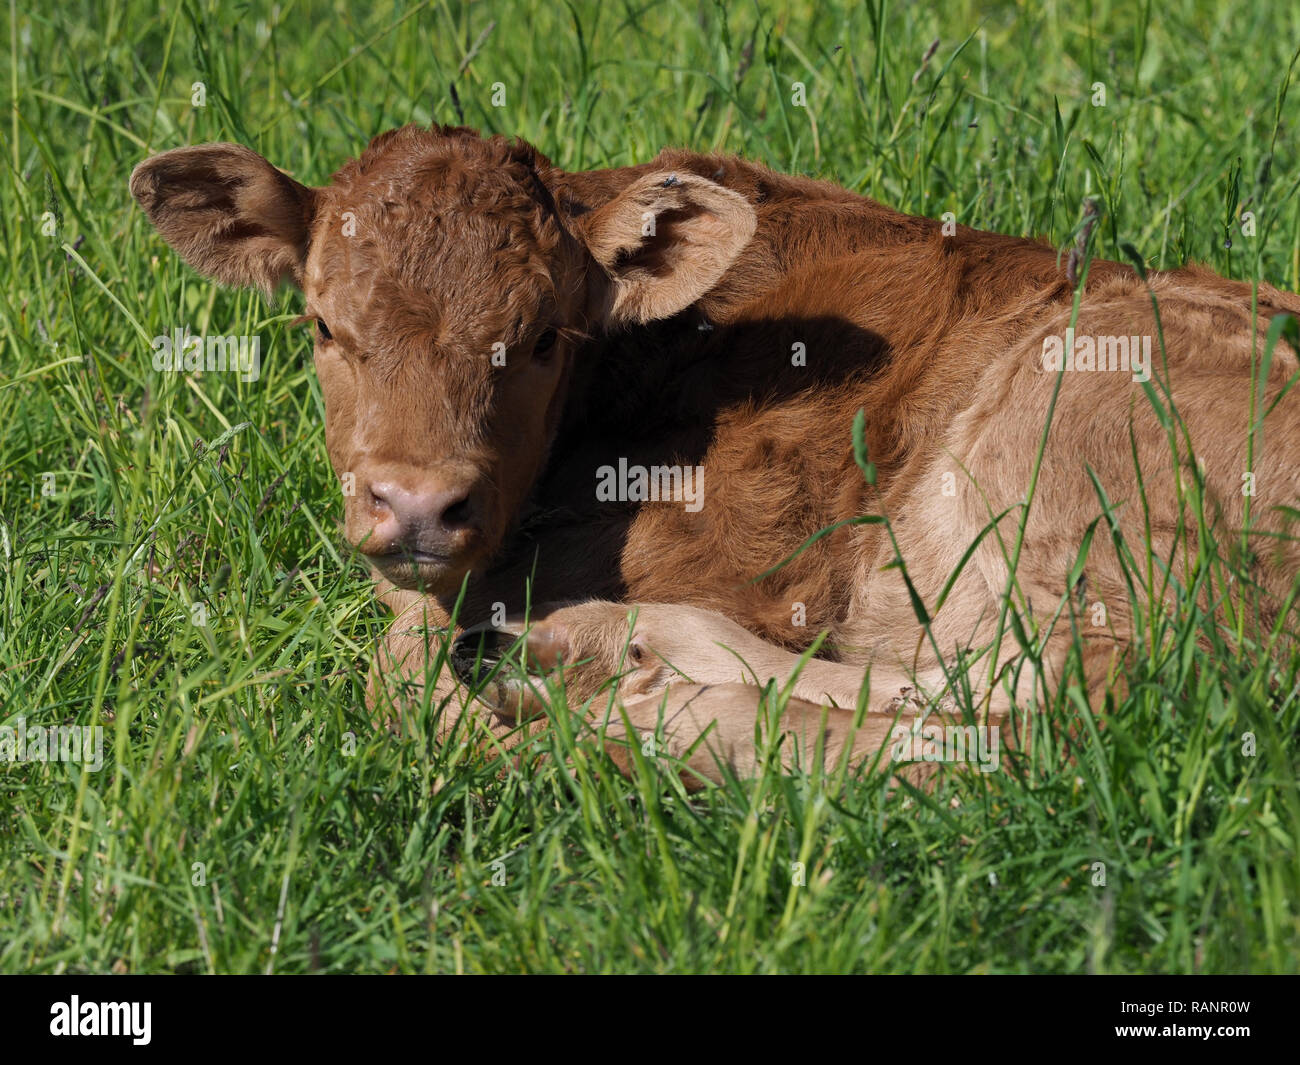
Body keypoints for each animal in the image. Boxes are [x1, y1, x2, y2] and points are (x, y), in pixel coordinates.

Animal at [130, 124, 1300, 787]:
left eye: (545, 335)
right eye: (324, 326)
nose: (415, 505)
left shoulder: (755, 560)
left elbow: (397, 669)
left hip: (1071, 463)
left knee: (1056, 705)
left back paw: (640, 702)